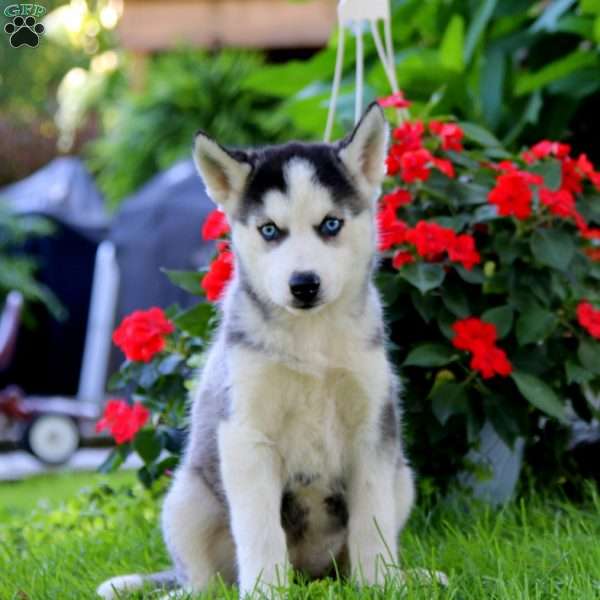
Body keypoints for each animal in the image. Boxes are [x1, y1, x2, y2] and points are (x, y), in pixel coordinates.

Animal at [98, 103, 418, 600]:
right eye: (270, 230)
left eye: (331, 224)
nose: (303, 284)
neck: (311, 343)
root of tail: (312, 574)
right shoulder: (245, 434)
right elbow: (259, 530)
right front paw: (266, 590)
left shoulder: (372, 429)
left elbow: (373, 522)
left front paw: (381, 585)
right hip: (186, 499)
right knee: (203, 579)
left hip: (403, 479)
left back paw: (408, 575)